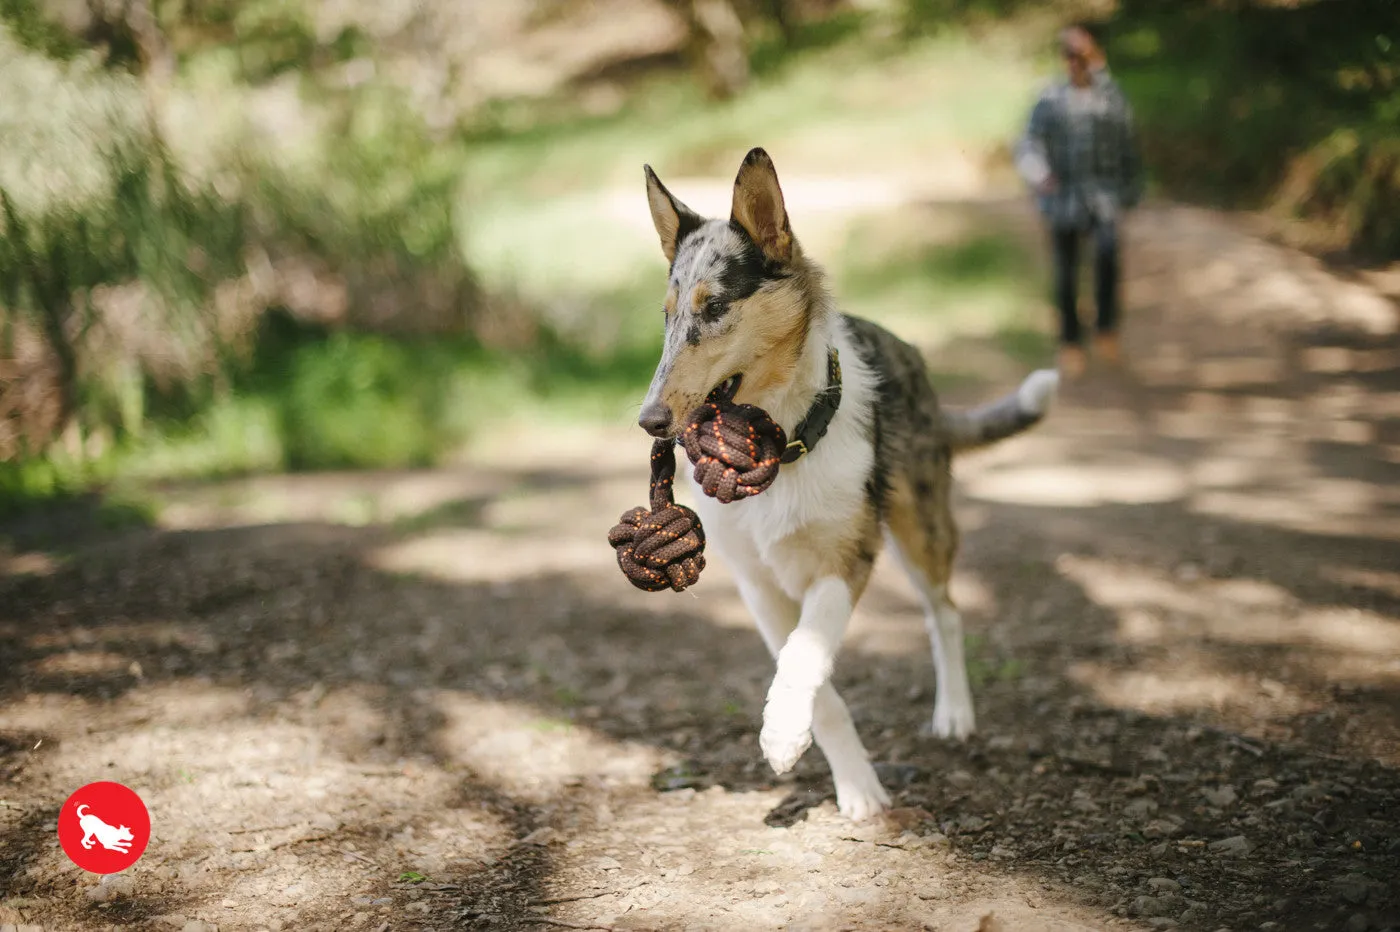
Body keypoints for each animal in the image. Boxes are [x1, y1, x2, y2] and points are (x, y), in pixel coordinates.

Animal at [641, 141, 1052, 817]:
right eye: (666, 316)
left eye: (716, 308)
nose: (648, 420)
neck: (778, 447)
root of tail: (911, 355)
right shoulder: (758, 584)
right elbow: (820, 688)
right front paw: (850, 782)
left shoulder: (849, 555)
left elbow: (808, 651)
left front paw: (785, 731)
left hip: (920, 528)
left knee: (946, 612)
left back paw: (955, 713)